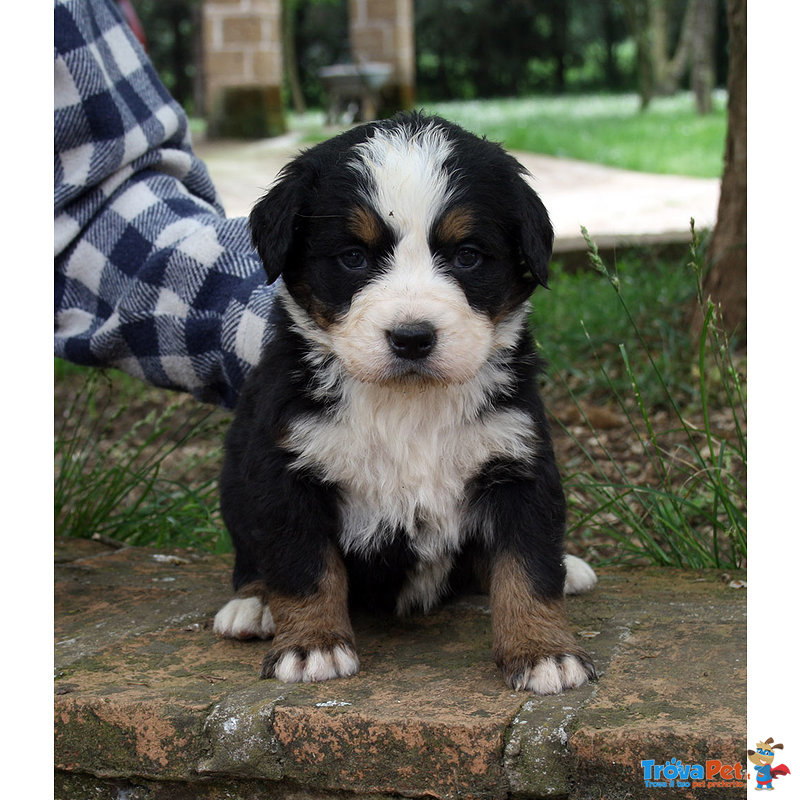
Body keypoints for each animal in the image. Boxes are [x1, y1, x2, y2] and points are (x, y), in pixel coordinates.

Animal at [212, 111, 592, 692]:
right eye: (353, 257)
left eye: (467, 256)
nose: (412, 338)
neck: (408, 404)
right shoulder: (286, 468)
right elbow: (304, 567)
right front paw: (312, 645)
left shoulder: (517, 461)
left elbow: (527, 567)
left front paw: (543, 650)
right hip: (237, 473)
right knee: (253, 557)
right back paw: (252, 605)